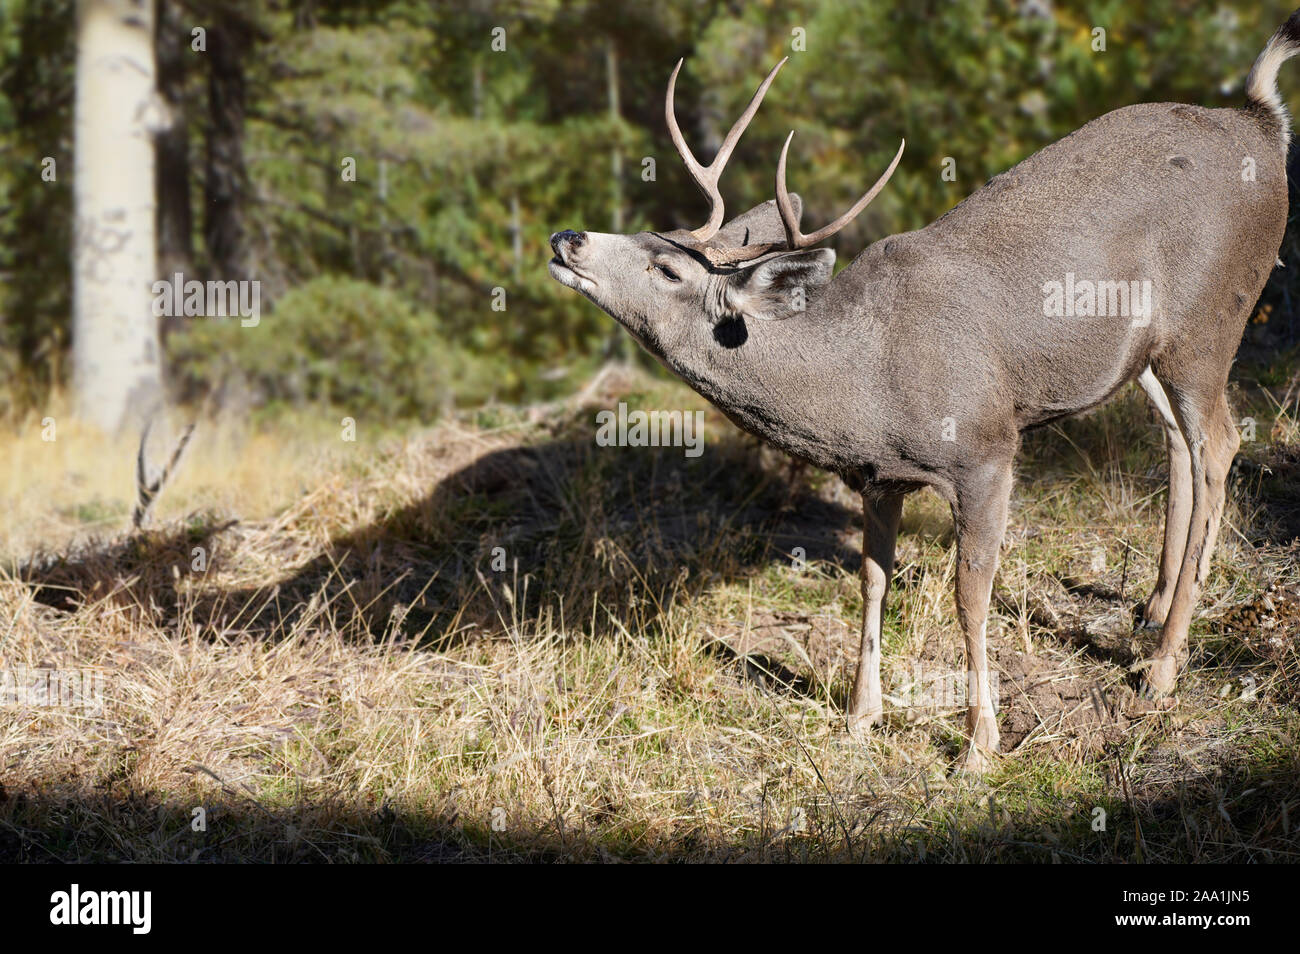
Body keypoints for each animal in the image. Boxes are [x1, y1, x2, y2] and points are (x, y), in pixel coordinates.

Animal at [548, 11, 1300, 774]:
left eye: (666, 267)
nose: (567, 235)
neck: (863, 381)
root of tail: (1262, 123)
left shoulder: (988, 450)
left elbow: (969, 596)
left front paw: (979, 743)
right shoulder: (877, 477)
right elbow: (873, 580)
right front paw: (860, 716)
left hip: (1209, 321)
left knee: (1220, 446)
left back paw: (1162, 669)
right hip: (1146, 354)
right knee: (1178, 440)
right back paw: (1151, 607)